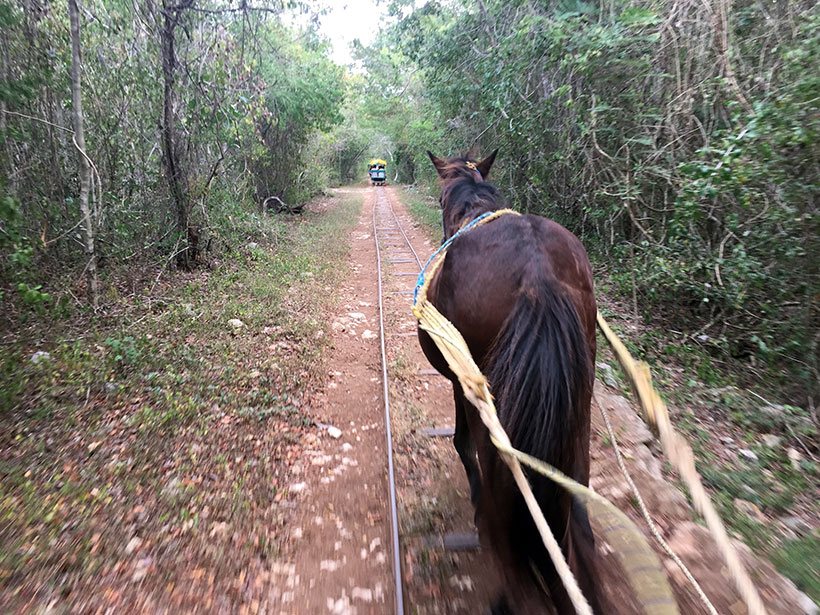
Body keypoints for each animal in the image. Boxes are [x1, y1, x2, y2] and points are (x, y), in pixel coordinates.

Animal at [420, 152, 604, 612]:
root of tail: (538, 273)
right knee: (577, 510)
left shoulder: (462, 381)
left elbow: (461, 441)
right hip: (578, 412)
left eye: (440, 197)